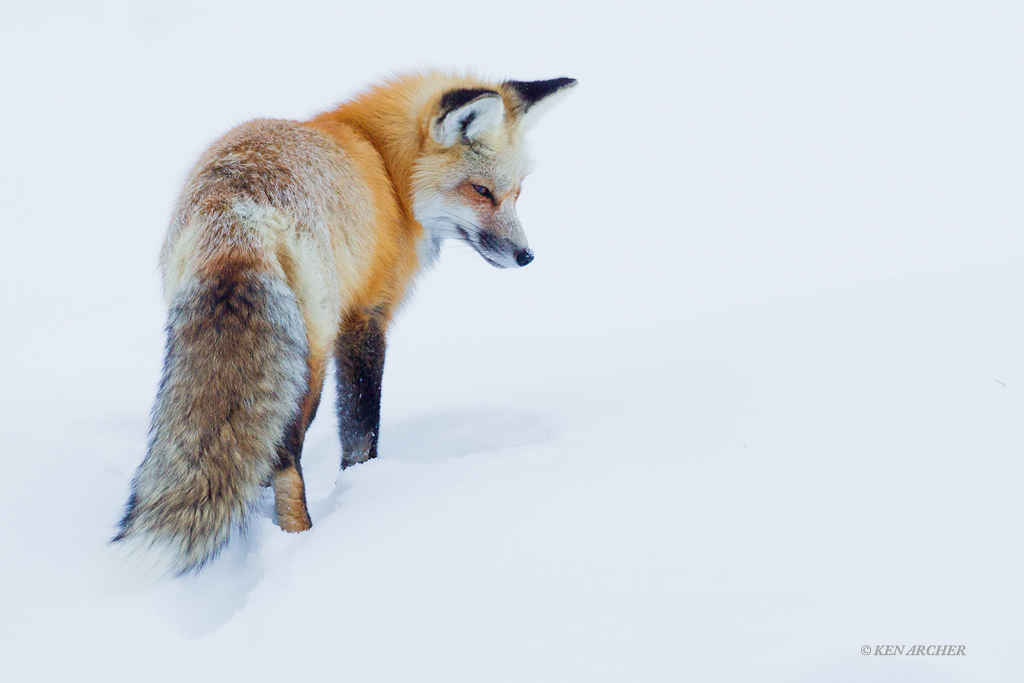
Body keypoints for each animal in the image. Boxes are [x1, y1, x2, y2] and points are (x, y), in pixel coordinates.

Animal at [110, 71, 577, 576]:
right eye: (481, 191)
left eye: (517, 193)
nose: (526, 256)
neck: (385, 168)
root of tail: (237, 211)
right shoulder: (365, 316)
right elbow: (360, 430)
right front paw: (362, 488)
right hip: (309, 358)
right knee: (284, 456)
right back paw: (298, 538)